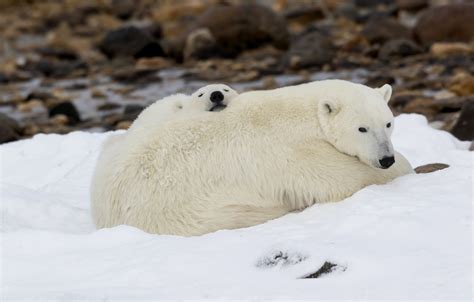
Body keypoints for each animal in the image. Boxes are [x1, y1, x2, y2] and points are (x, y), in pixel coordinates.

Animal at [90, 79, 412, 237]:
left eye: (388, 123)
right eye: (362, 128)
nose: (385, 158)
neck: (301, 111)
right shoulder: (292, 152)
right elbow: (339, 177)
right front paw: (400, 168)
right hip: (184, 212)